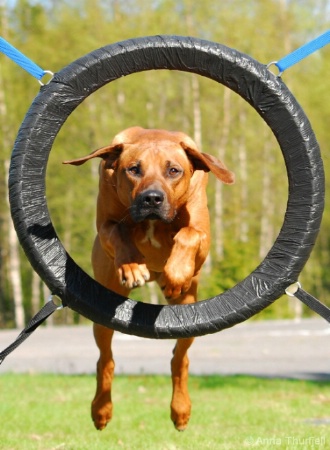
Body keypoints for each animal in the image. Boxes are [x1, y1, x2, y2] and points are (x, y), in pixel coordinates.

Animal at [63, 127, 235, 432]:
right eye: (134, 169)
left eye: (174, 170)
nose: (152, 199)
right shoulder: (106, 224)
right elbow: (117, 231)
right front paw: (132, 267)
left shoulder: (202, 236)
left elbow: (189, 234)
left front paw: (176, 273)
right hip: (103, 314)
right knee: (105, 360)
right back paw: (101, 410)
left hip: (188, 312)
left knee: (179, 359)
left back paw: (180, 410)